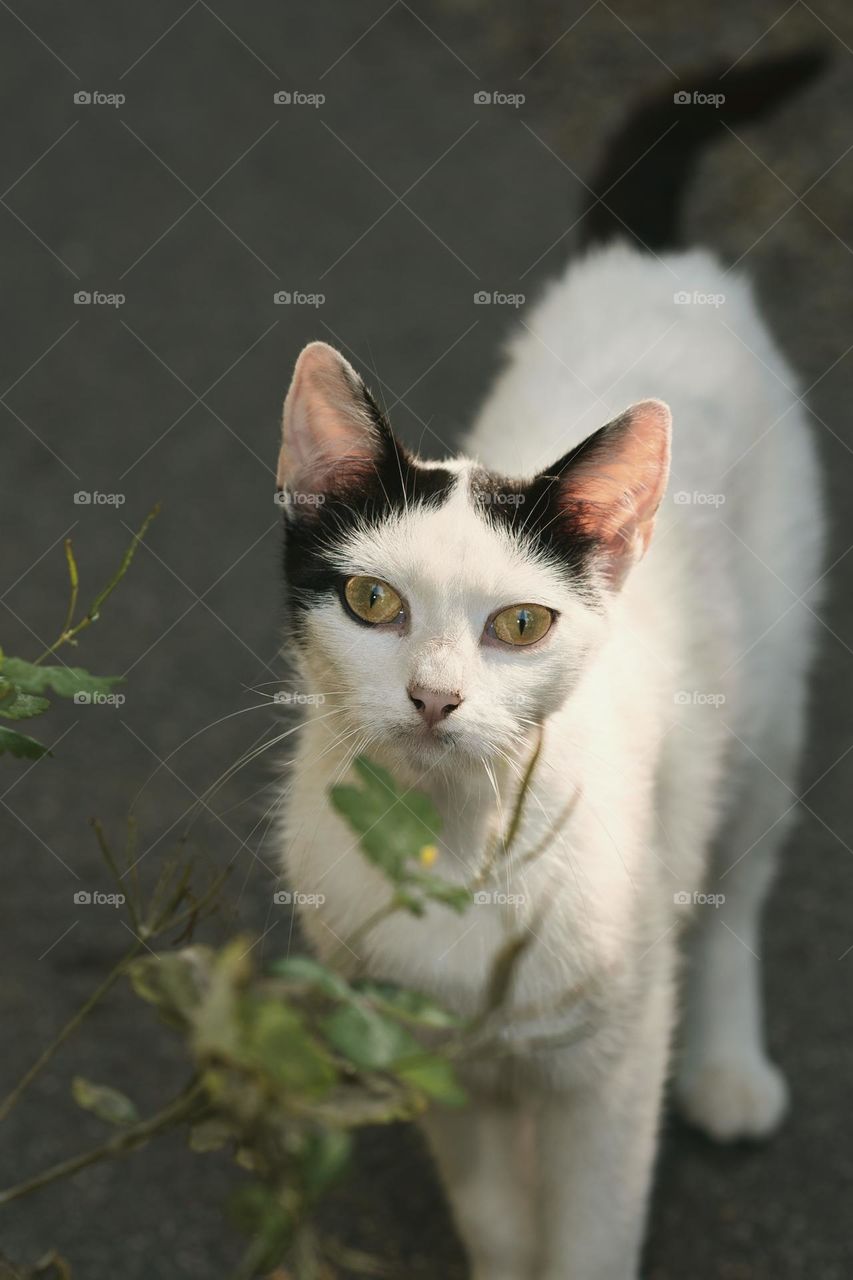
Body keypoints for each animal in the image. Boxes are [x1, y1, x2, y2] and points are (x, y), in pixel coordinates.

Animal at [277, 49, 824, 1280]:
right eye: (372, 602)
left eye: (520, 626)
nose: (433, 696)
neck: (456, 842)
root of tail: (656, 263)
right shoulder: (430, 1058)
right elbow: (492, 1213)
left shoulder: (607, 1073)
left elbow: (589, 1233)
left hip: (764, 716)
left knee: (736, 889)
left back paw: (729, 1066)